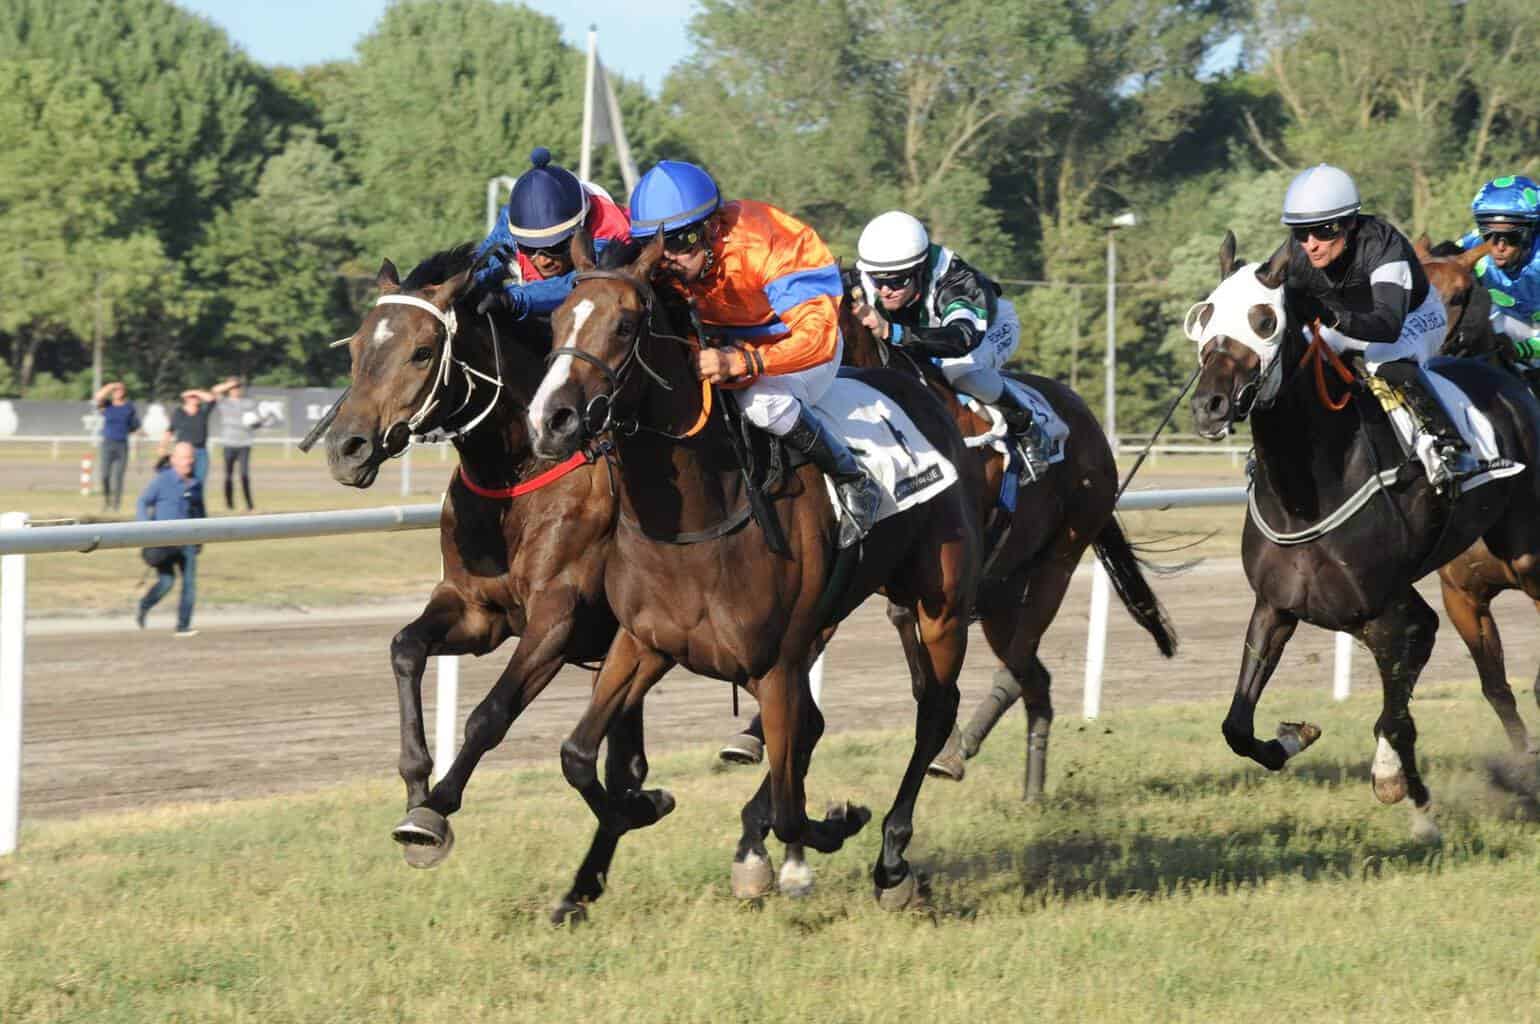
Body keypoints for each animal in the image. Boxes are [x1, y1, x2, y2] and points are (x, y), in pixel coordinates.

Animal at [321, 246, 622, 862]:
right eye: (357, 347)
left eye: (421, 352)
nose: (346, 448)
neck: (515, 474)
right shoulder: (476, 609)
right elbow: (405, 648)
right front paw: (416, 782)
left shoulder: (559, 620)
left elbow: (490, 714)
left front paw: (432, 814)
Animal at [837, 291, 1170, 794]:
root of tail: (1089, 420)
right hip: (1001, 591)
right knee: (1036, 678)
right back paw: (1030, 789)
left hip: (1060, 557)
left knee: (1018, 664)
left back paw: (961, 750)